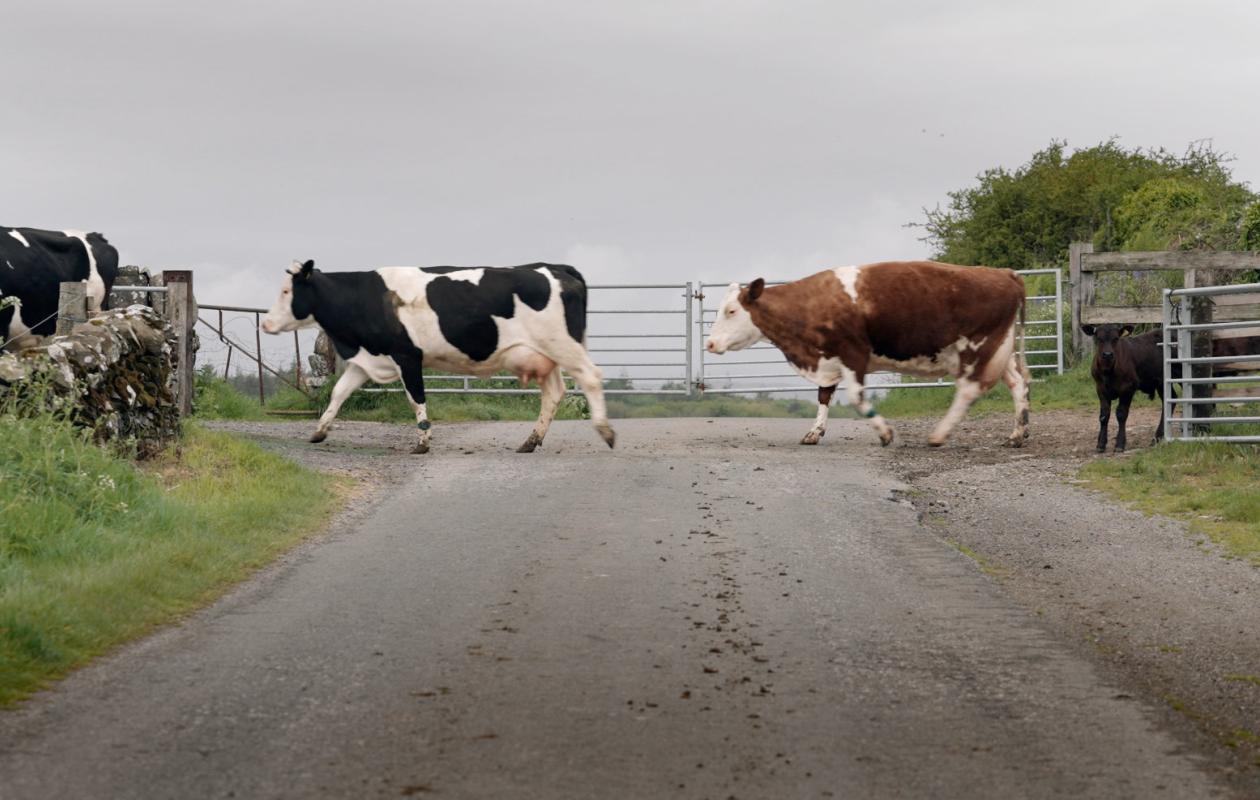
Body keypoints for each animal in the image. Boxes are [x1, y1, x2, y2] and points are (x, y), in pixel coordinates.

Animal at [261, 259, 616, 454]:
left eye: (286, 291)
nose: (265, 323)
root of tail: (554, 267)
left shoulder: (406, 355)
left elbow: (416, 397)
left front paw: (422, 442)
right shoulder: (369, 358)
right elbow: (339, 392)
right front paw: (319, 431)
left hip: (563, 344)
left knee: (590, 376)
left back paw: (605, 431)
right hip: (545, 354)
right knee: (554, 392)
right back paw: (530, 441)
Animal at [704, 261, 1031, 448]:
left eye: (731, 311)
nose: (709, 343)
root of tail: (1004, 273)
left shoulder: (854, 353)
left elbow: (856, 397)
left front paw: (885, 432)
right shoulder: (829, 358)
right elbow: (824, 396)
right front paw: (814, 433)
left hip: (977, 346)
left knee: (969, 389)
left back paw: (939, 435)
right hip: (1001, 349)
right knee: (1019, 383)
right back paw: (1018, 433)